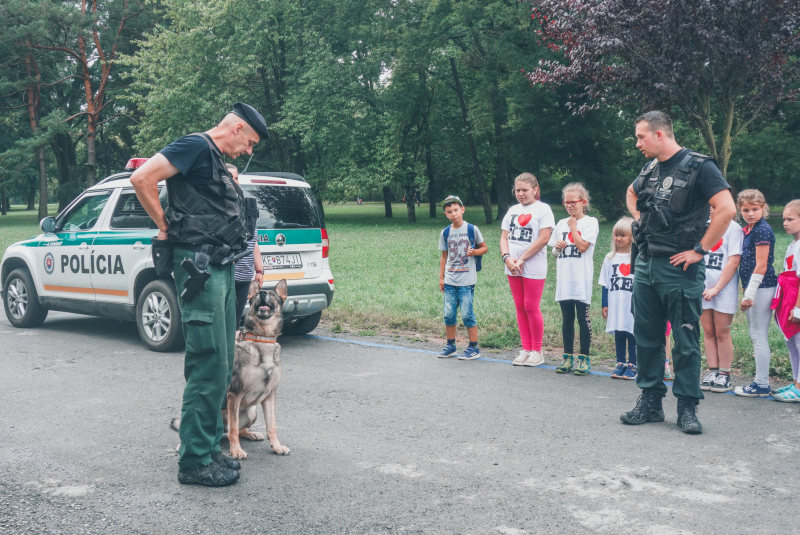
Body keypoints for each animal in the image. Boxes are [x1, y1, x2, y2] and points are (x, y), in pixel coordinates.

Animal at [222, 280, 290, 460]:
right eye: (258, 293)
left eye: (272, 294)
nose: (262, 293)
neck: (262, 338)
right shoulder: (234, 393)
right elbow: (233, 430)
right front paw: (236, 451)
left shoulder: (270, 395)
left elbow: (272, 426)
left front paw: (277, 447)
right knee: (227, 430)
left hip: (252, 412)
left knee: (238, 430)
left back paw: (251, 434)